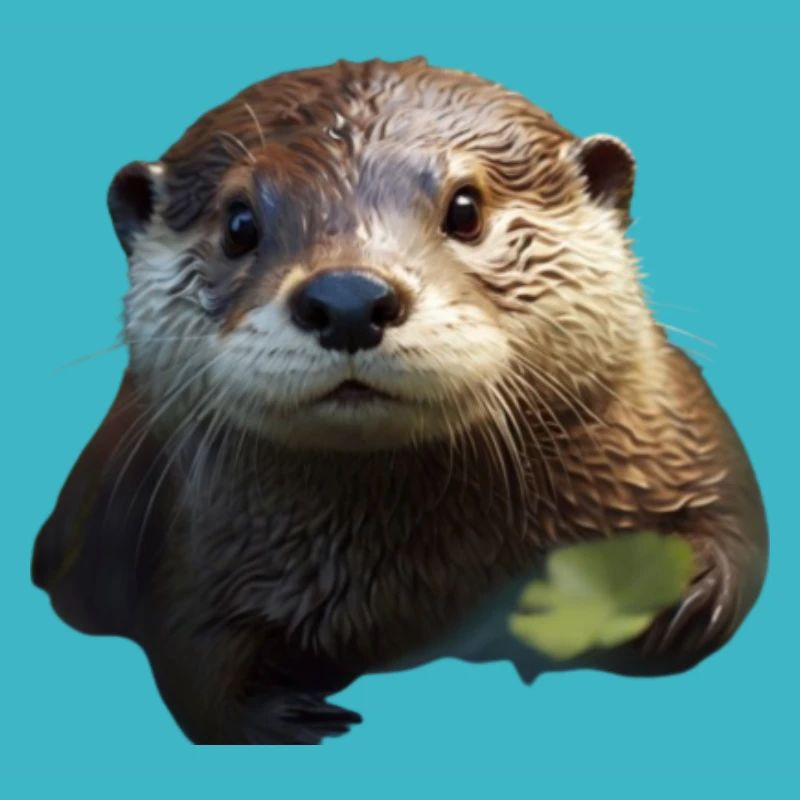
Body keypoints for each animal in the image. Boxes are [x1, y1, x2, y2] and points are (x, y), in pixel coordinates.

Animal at [32, 57, 767, 744]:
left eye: (466, 209)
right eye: (239, 223)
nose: (348, 298)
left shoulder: (680, 432)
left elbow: (742, 539)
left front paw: (681, 597)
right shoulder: (191, 547)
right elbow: (194, 670)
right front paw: (286, 712)